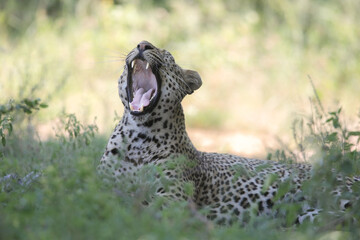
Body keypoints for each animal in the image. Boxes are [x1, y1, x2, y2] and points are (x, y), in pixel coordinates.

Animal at [97, 40, 358, 225]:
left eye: (167, 55)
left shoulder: (173, 200)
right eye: (139, 43)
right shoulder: (104, 182)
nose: (142, 45)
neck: (137, 138)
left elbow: (141, 207)